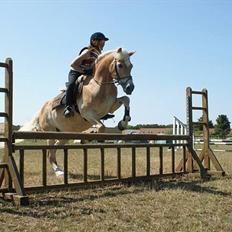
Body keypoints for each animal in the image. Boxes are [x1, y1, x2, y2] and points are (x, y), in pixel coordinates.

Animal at [20, 48, 135, 176]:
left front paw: (123, 123)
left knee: (55, 149)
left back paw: (59, 169)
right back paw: (58, 171)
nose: (130, 88)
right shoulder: (87, 114)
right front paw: (91, 135)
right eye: (120, 65)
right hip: (50, 132)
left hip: (64, 134)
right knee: (50, 151)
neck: (99, 84)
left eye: (131, 66)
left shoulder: (110, 107)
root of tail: (41, 110)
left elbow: (126, 99)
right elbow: (101, 127)